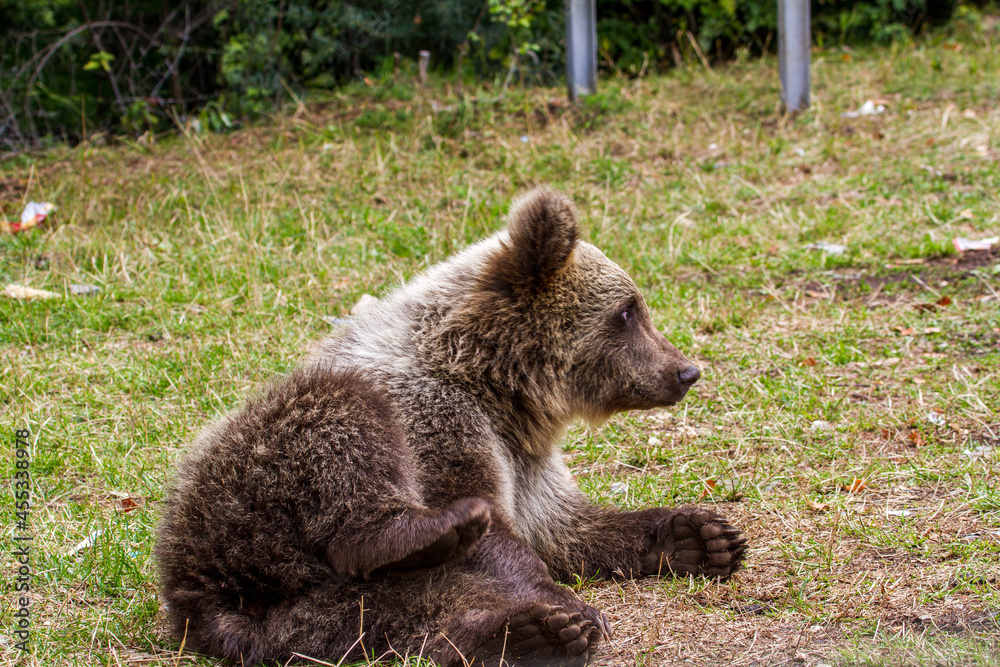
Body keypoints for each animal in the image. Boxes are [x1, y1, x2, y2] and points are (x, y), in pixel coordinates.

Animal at [154, 188, 747, 667]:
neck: (494, 386)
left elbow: (564, 527)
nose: (685, 371)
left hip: (310, 610)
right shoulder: (433, 418)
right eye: (627, 311)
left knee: (393, 614)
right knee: (343, 435)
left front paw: (701, 535)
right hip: (240, 489)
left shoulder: (525, 461)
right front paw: (569, 602)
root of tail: (204, 600)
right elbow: (492, 528)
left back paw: (529, 635)